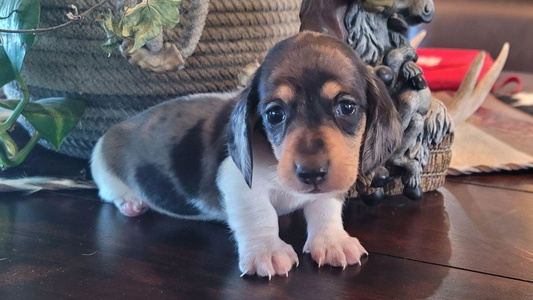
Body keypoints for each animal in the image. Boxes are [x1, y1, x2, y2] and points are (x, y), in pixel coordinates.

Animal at [90, 31, 400, 278]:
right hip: (103, 167)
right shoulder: (238, 183)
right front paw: (267, 251)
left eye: (347, 107)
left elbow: (325, 208)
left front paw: (332, 241)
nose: (312, 173)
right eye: (274, 114)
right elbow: (259, 215)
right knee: (108, 192)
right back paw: (131, 202)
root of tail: (111, 133)